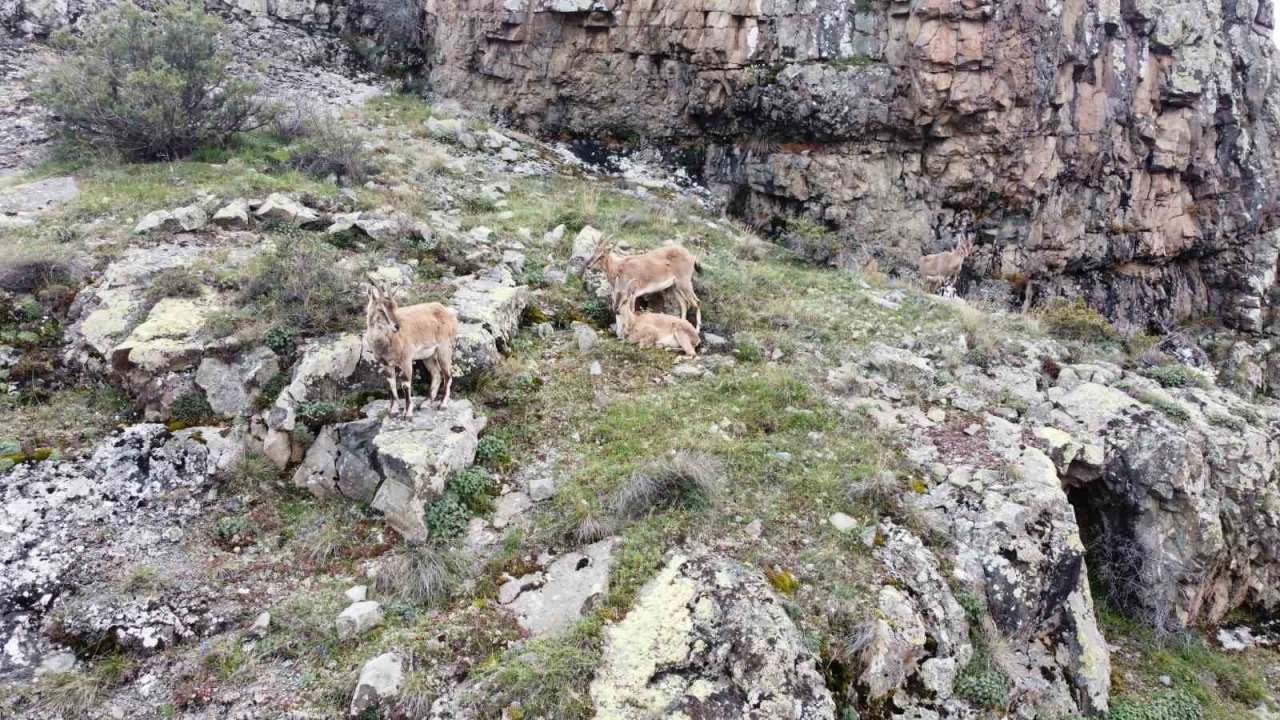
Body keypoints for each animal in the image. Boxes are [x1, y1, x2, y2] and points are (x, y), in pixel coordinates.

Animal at [363, 279, 458, 417]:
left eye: (395, 306)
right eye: (380, 309)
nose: (397, 326)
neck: (386, 341)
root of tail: (447, 312)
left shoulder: (406, 360)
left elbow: (405, 384)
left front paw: (407, 413)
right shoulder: (385, 363)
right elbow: (391, 384)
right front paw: (393, 410)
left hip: (444, 348)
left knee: (448, 375)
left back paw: (443, 404)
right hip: (428, 356)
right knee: (437, 375)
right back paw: (425, 403)